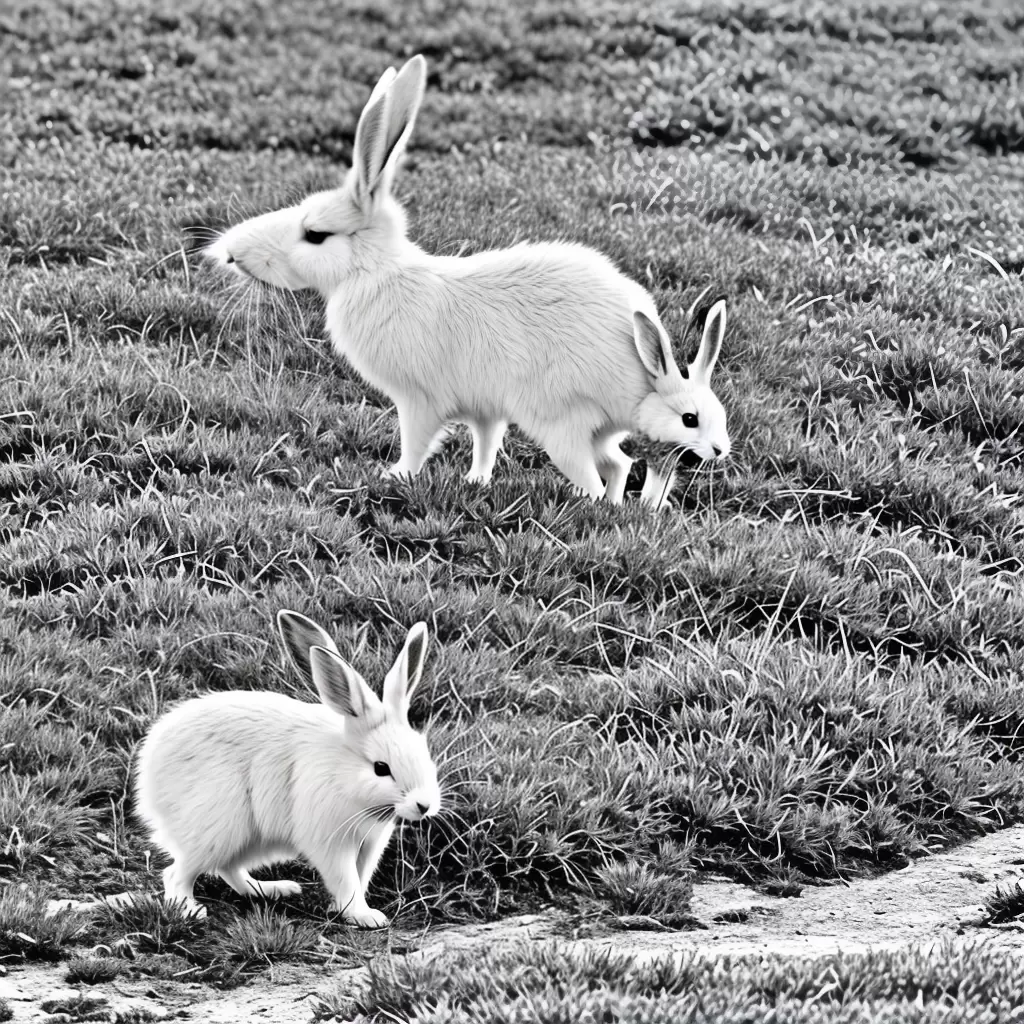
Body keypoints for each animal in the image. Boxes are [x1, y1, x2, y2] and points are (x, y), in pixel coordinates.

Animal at [135, 611, 441, 928]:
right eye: (381, 768)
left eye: (424, 751)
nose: (424, 805)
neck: (344, 772)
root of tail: (148, 774)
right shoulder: (331, 843)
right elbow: (347, 880)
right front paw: (365, 917)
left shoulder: (369, 844)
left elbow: (360, 877)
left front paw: (345, 910)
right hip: (217, 830)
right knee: (176, 874)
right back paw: (190, 909)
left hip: (248, 840)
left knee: (229, 869)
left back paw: (273, 889)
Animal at [207, 54, 730, 505]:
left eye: (314, 234)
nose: (230, 253)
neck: (376, 273)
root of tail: (644, 380)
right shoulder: (484, 407)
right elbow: (486, 441)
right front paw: (475, 482)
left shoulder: (419, 400)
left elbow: (418, 442)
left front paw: (395, 476)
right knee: (620, 466)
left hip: (559, 422)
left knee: (599, 475)